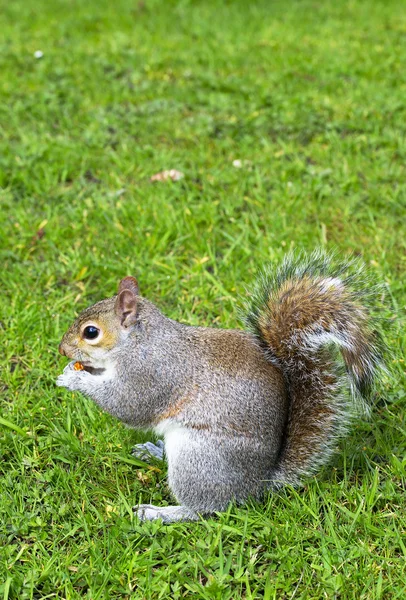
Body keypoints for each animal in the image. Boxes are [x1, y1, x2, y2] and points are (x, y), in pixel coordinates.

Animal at [56, 251, 384, 524]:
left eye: (91, 332)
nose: (61, 349)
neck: (139, 341)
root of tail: (259, 482)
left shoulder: (151, 374)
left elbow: (128, 405)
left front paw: (74, 379)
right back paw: (153, 451)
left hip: (198, 457)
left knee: (204, 508)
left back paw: (161, 513)